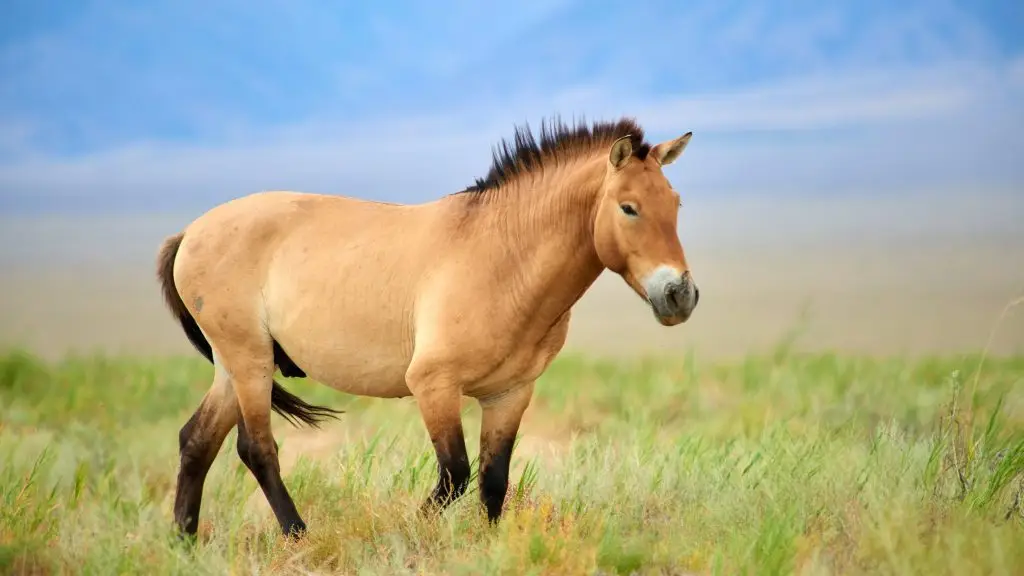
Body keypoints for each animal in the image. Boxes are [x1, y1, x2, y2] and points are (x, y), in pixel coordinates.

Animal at [157, 116, 696, 537]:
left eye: (676, 203)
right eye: (628, 207)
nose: (679, 294)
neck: (502, 257)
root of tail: (190, 232)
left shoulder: (509, 394)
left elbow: (493, 480)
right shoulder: (434, 386)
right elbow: (455, 475)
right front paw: (406, 533)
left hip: (236, 366)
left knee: (196, 441)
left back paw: (185, 540)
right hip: (249, 361)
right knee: (257, 448)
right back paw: (297, 535)